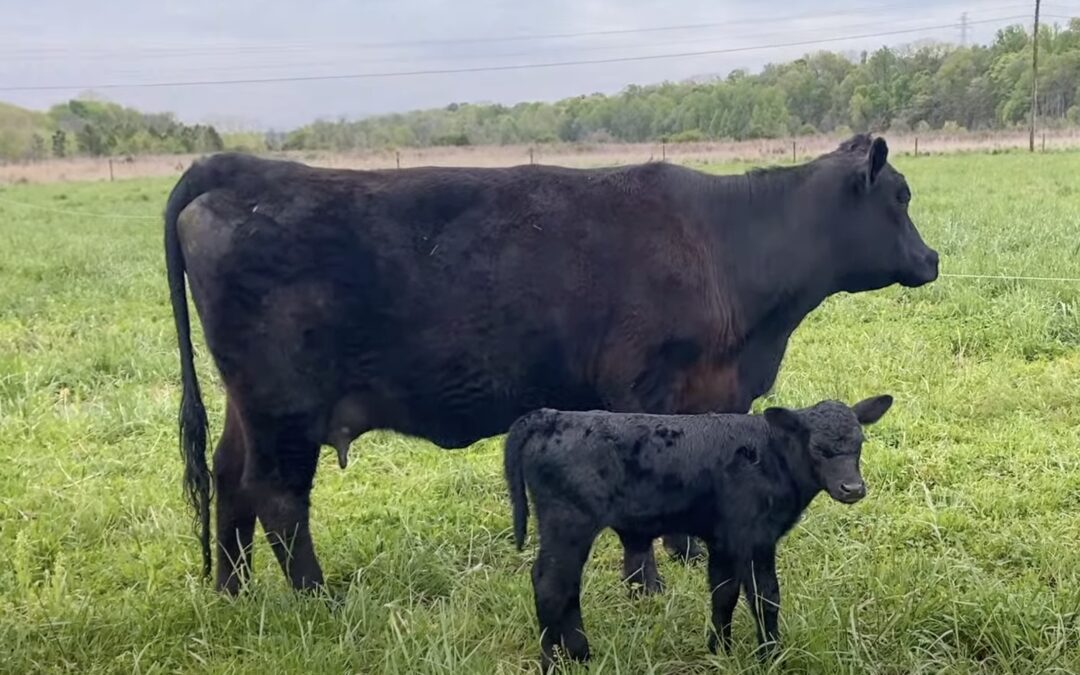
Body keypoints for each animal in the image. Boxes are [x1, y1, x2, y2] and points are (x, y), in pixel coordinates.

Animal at [163, 134, 937, 594]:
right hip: (284, 404)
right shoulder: (639, 387)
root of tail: (240, 169)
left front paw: (687, 556)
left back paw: (233, 590)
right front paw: (646, 582)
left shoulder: (705, 393)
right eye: (901, 196)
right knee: (276, 495)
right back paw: (317, 597)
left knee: (230, 478)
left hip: (248, 403)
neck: (728, 246)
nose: (931, 259)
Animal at [504, 395, 894, 670]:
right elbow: (765, 597)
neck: (771, 455)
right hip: (568, 522)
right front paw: (770, 658)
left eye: (859, 443)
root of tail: (553, 415)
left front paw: (719, 650)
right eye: (819, 449)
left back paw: (581, 656)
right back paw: (553, 662)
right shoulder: (755, 538)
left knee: (566, 586)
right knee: (550, 585)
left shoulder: (724, 540)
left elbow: (724, 594)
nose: (852, 488)